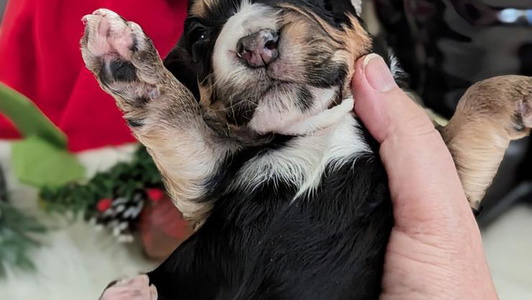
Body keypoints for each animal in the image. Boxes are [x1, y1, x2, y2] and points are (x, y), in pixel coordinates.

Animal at [80, 1, 532, 298]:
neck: (318, 125)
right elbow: (177, 118)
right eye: (200, 34)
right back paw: (131, 290)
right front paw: (120, 51)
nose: (255, 44)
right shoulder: (208, 174)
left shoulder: (447, 170)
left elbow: (474, 99)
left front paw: (522, 91)